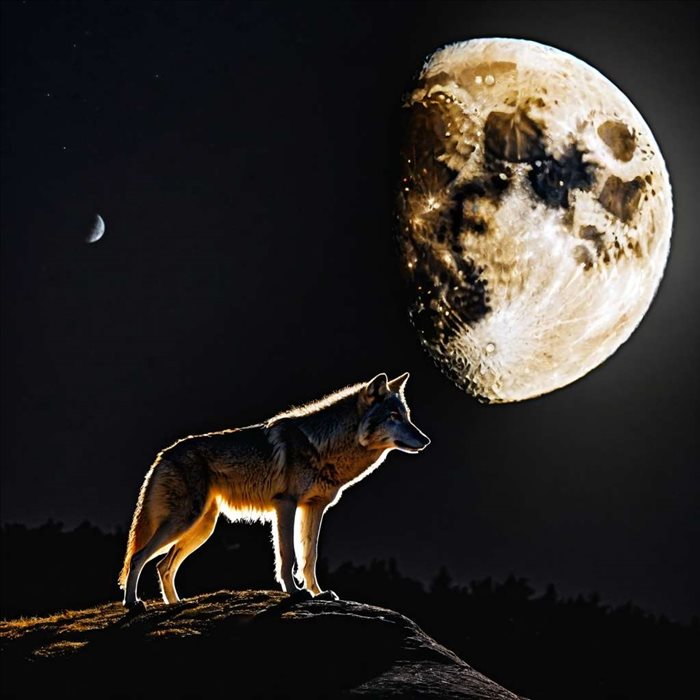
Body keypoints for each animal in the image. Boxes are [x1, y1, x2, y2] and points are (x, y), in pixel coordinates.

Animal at [119, 372, 430, 610]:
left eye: (407, 416)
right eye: (393, 416)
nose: (425, 440)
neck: (323, 446)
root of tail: (163, 455)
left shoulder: (314, 508)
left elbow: (309, 557)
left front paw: (318, 593)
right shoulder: (286, 505)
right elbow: (288, 555)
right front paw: (294, 592)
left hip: (201, 528)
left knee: (163, 566)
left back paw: (175, 605)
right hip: (186, 521)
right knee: (138, 557)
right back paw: (133, 604)